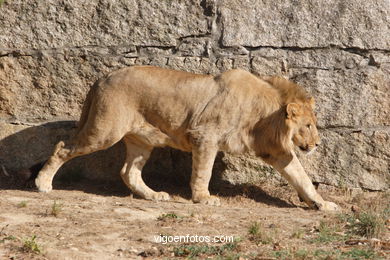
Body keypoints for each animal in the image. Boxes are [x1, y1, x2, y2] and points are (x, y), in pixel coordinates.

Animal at [35, 65, 338, 211]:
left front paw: (322, 204)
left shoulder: (278, 152)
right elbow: (203, 171)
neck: (264, 116)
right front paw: (203, 198)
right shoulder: (205, 135)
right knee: (62, 147)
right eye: (308, 125)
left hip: (141, 140)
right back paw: (43, 184)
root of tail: (102, 78)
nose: (317, 144)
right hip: (104, 131)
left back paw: (154, 195)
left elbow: (302, 178)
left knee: (128, 171)